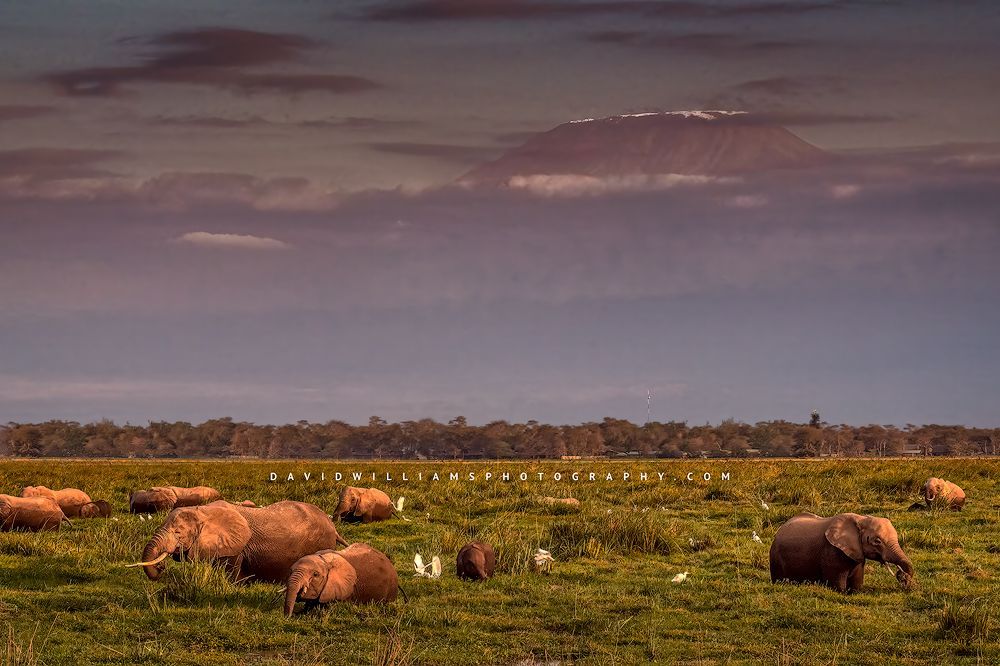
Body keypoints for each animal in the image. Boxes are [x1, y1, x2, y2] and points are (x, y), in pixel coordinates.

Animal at [770, 512, 914, 593]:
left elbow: (857, 584)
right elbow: (838, 586)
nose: (903, 579)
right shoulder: (832, 551)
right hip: (775, 557)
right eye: (877, 541)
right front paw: (842, 592)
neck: (860, 519)